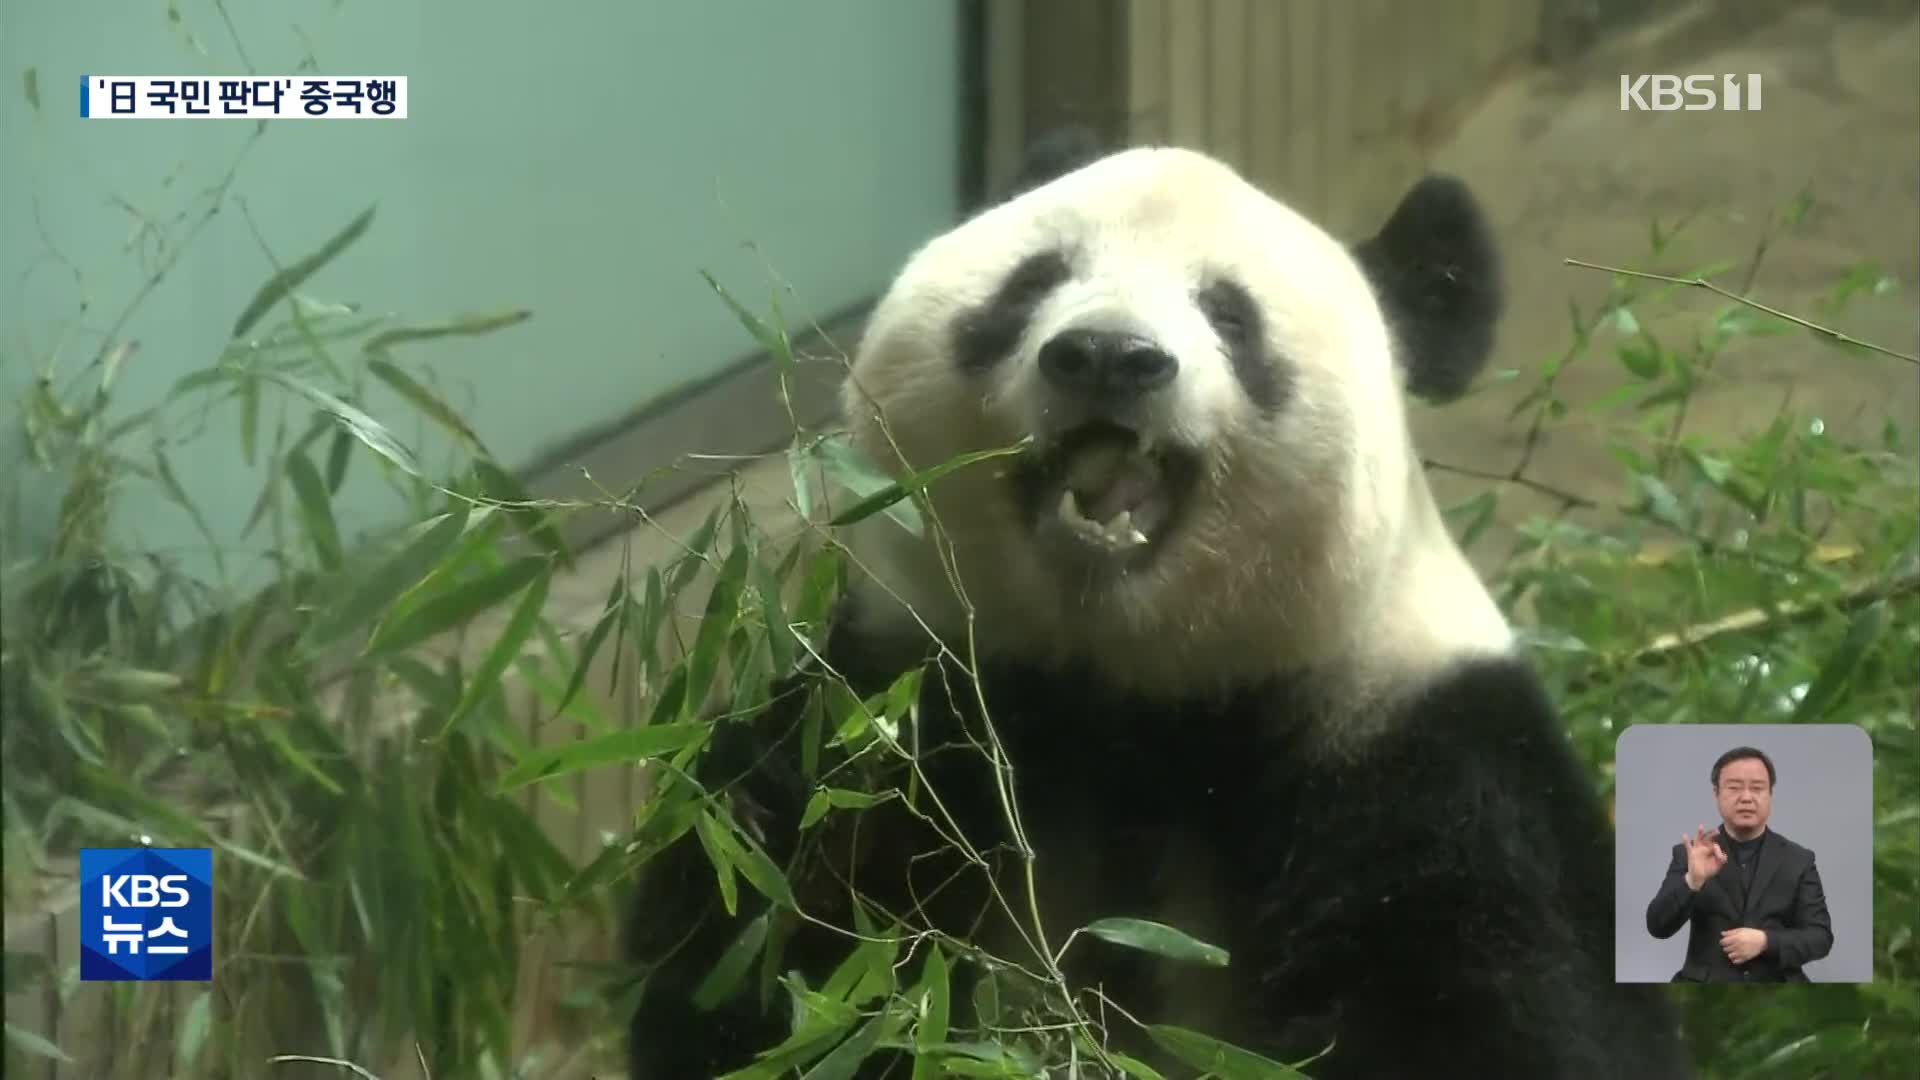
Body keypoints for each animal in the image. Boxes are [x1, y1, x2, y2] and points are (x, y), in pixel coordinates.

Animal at [618, 141, 1697, 1076]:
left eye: (1229, 313)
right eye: (1033, 283)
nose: (1107, 354)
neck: (1127, 687)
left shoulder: (1426, 762)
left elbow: (1510, 1010)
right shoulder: (911, 702)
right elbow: (764, 946)